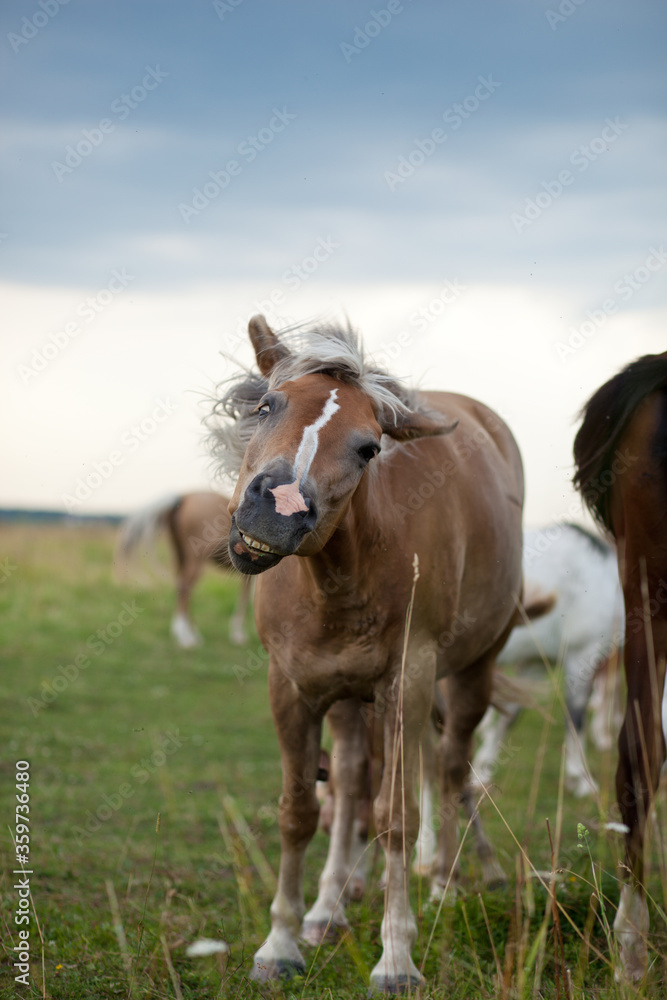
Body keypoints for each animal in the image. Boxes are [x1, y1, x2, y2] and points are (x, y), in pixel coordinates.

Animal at [116, 492, 253, 647]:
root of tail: (184, 496)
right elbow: (245, 599)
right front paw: (238, 634)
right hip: (195, 559)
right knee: (184, 587)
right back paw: (185, 636)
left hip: (180, 555)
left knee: (181, 588)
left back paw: (191, 633)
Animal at [211, 314, 525, 993]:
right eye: (267, 405)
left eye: (369, 448)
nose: (277, 510)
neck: (340, 574)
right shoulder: (292, 687)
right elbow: (301, 810)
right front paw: (280, 944)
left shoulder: (408, 681)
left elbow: (397, 816)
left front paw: (397, 958)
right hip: (350, 697)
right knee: (355, 777)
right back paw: (328, 909)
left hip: (470, 674)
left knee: (449, 769)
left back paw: (444, 884)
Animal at [472, 522, 624, 798]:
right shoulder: (583, 654)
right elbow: (576, 718)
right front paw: (582, 780)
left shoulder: (535, 663)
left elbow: (510, 715)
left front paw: (481, 772)